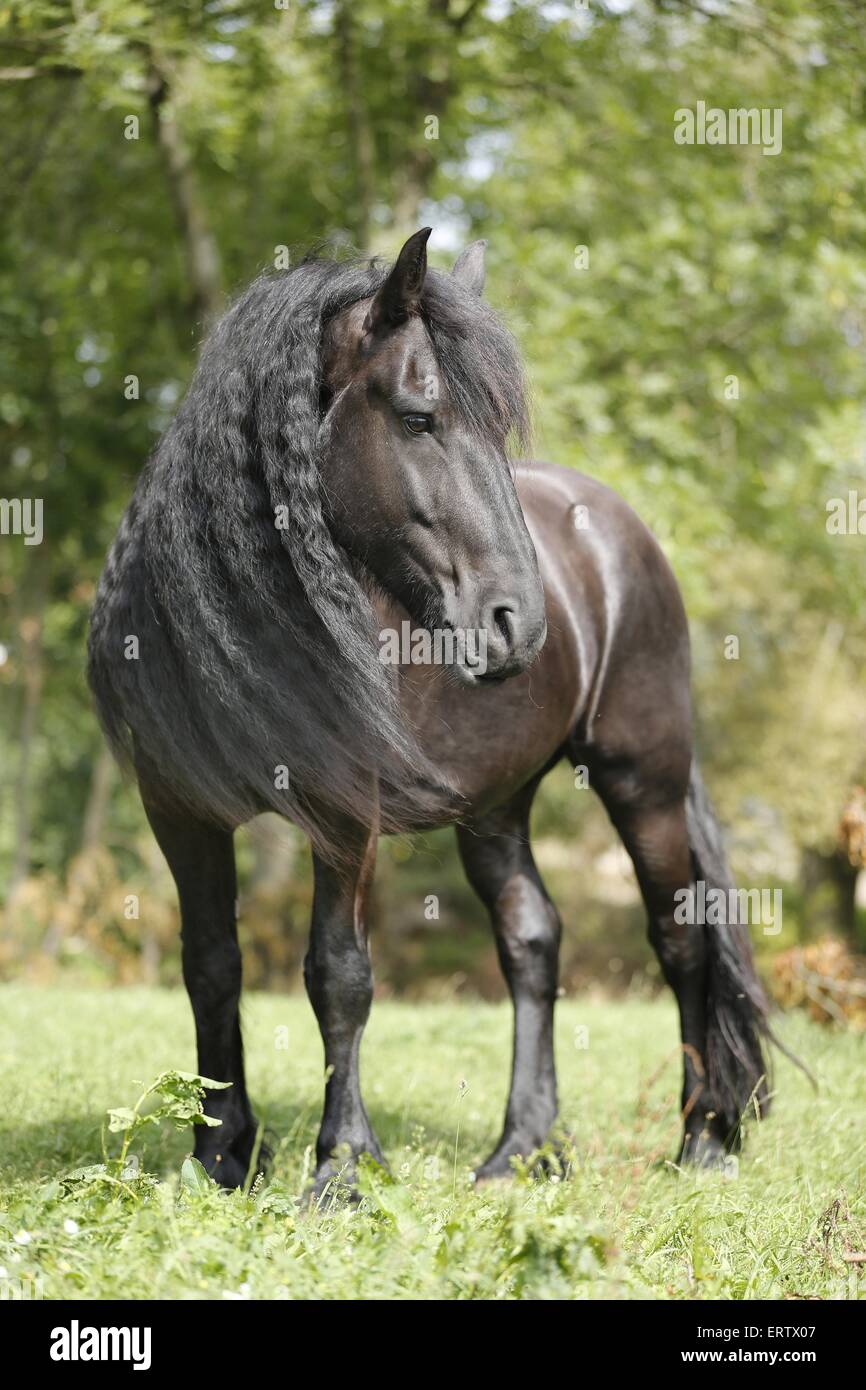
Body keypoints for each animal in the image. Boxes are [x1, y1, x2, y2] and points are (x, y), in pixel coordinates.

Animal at [88, 228, 771, 1194]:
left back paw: (703, 1138)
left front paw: (341, 1166)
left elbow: (338, 974)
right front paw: (220, 1154)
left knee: (679, 937)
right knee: (532, 939)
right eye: (418, 418)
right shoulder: (179, 811)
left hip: (645, 780)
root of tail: (613, 525)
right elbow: (211, 965)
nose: (520, 622)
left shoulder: (345, 812)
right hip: (497, 804)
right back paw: (522, 1149)